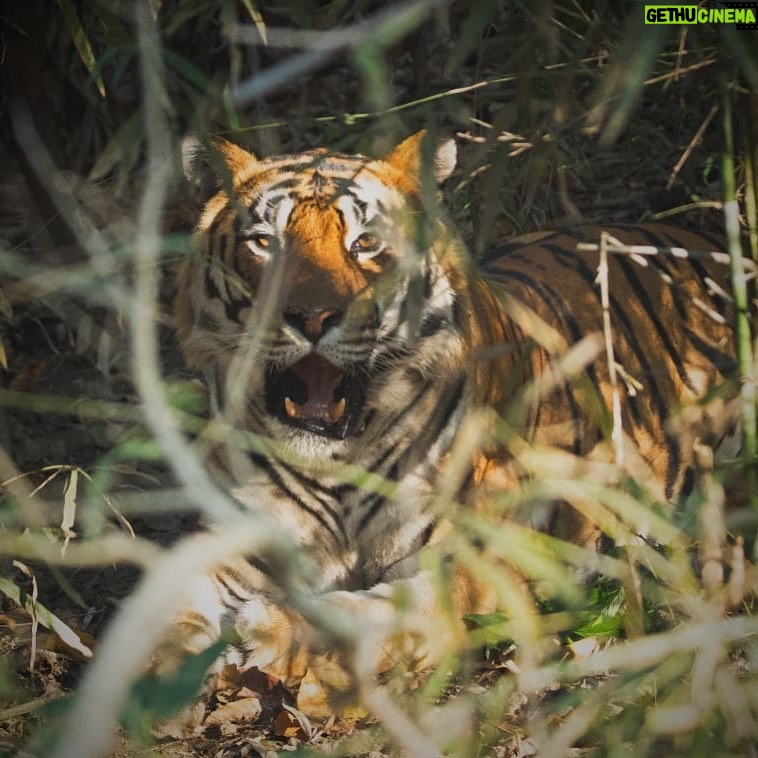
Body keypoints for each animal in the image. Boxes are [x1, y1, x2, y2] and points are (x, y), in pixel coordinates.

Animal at [168, 131, 744, 720]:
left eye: (366, 243)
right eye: (265, 243)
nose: (312, 316)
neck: (337, 464)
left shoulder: (481, 565)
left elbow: (385, 611)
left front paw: (270, 628)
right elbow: (168, 605)